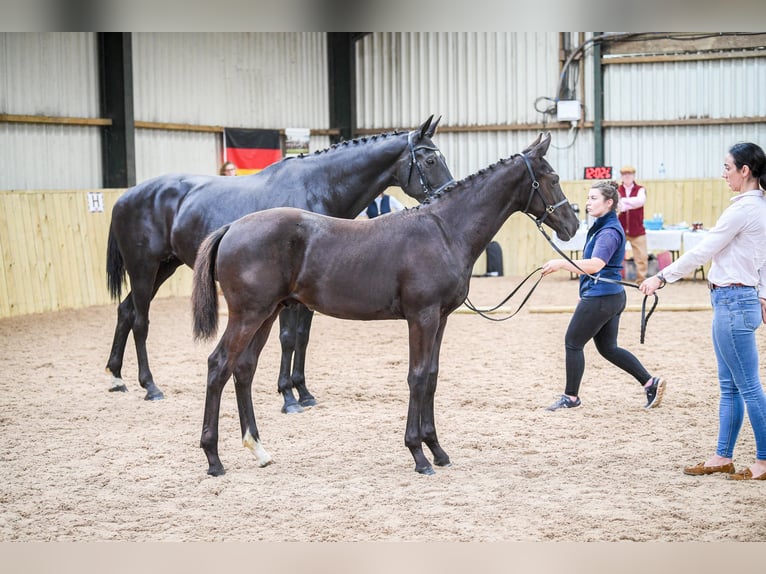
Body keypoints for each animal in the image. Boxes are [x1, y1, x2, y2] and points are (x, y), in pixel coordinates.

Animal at [105, 115, 452, 410]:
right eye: (431, 159)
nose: (447, 191)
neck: (316, 187)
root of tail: (125, 197)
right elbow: (287, 338)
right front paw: (288, 395)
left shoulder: (308, 292)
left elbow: (302, 338)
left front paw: (304, 391)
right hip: (143, 268)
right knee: (140, 319)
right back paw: (150, 386)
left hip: (164, 267)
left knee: (125, 311)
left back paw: (117, 377)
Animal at [190, 132, 576, 476]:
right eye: (554, 178)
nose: (572, 224)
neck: (445, 231)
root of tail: (231, 227)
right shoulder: (421, 317)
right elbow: (416, 377)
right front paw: (419, 455)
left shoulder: (440, 319)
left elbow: (431, 376)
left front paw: (437, 450)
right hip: (248, 315)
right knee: (218, 365)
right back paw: (213, 459)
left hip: (268, 314)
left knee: (244, 369)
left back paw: (258, 449)